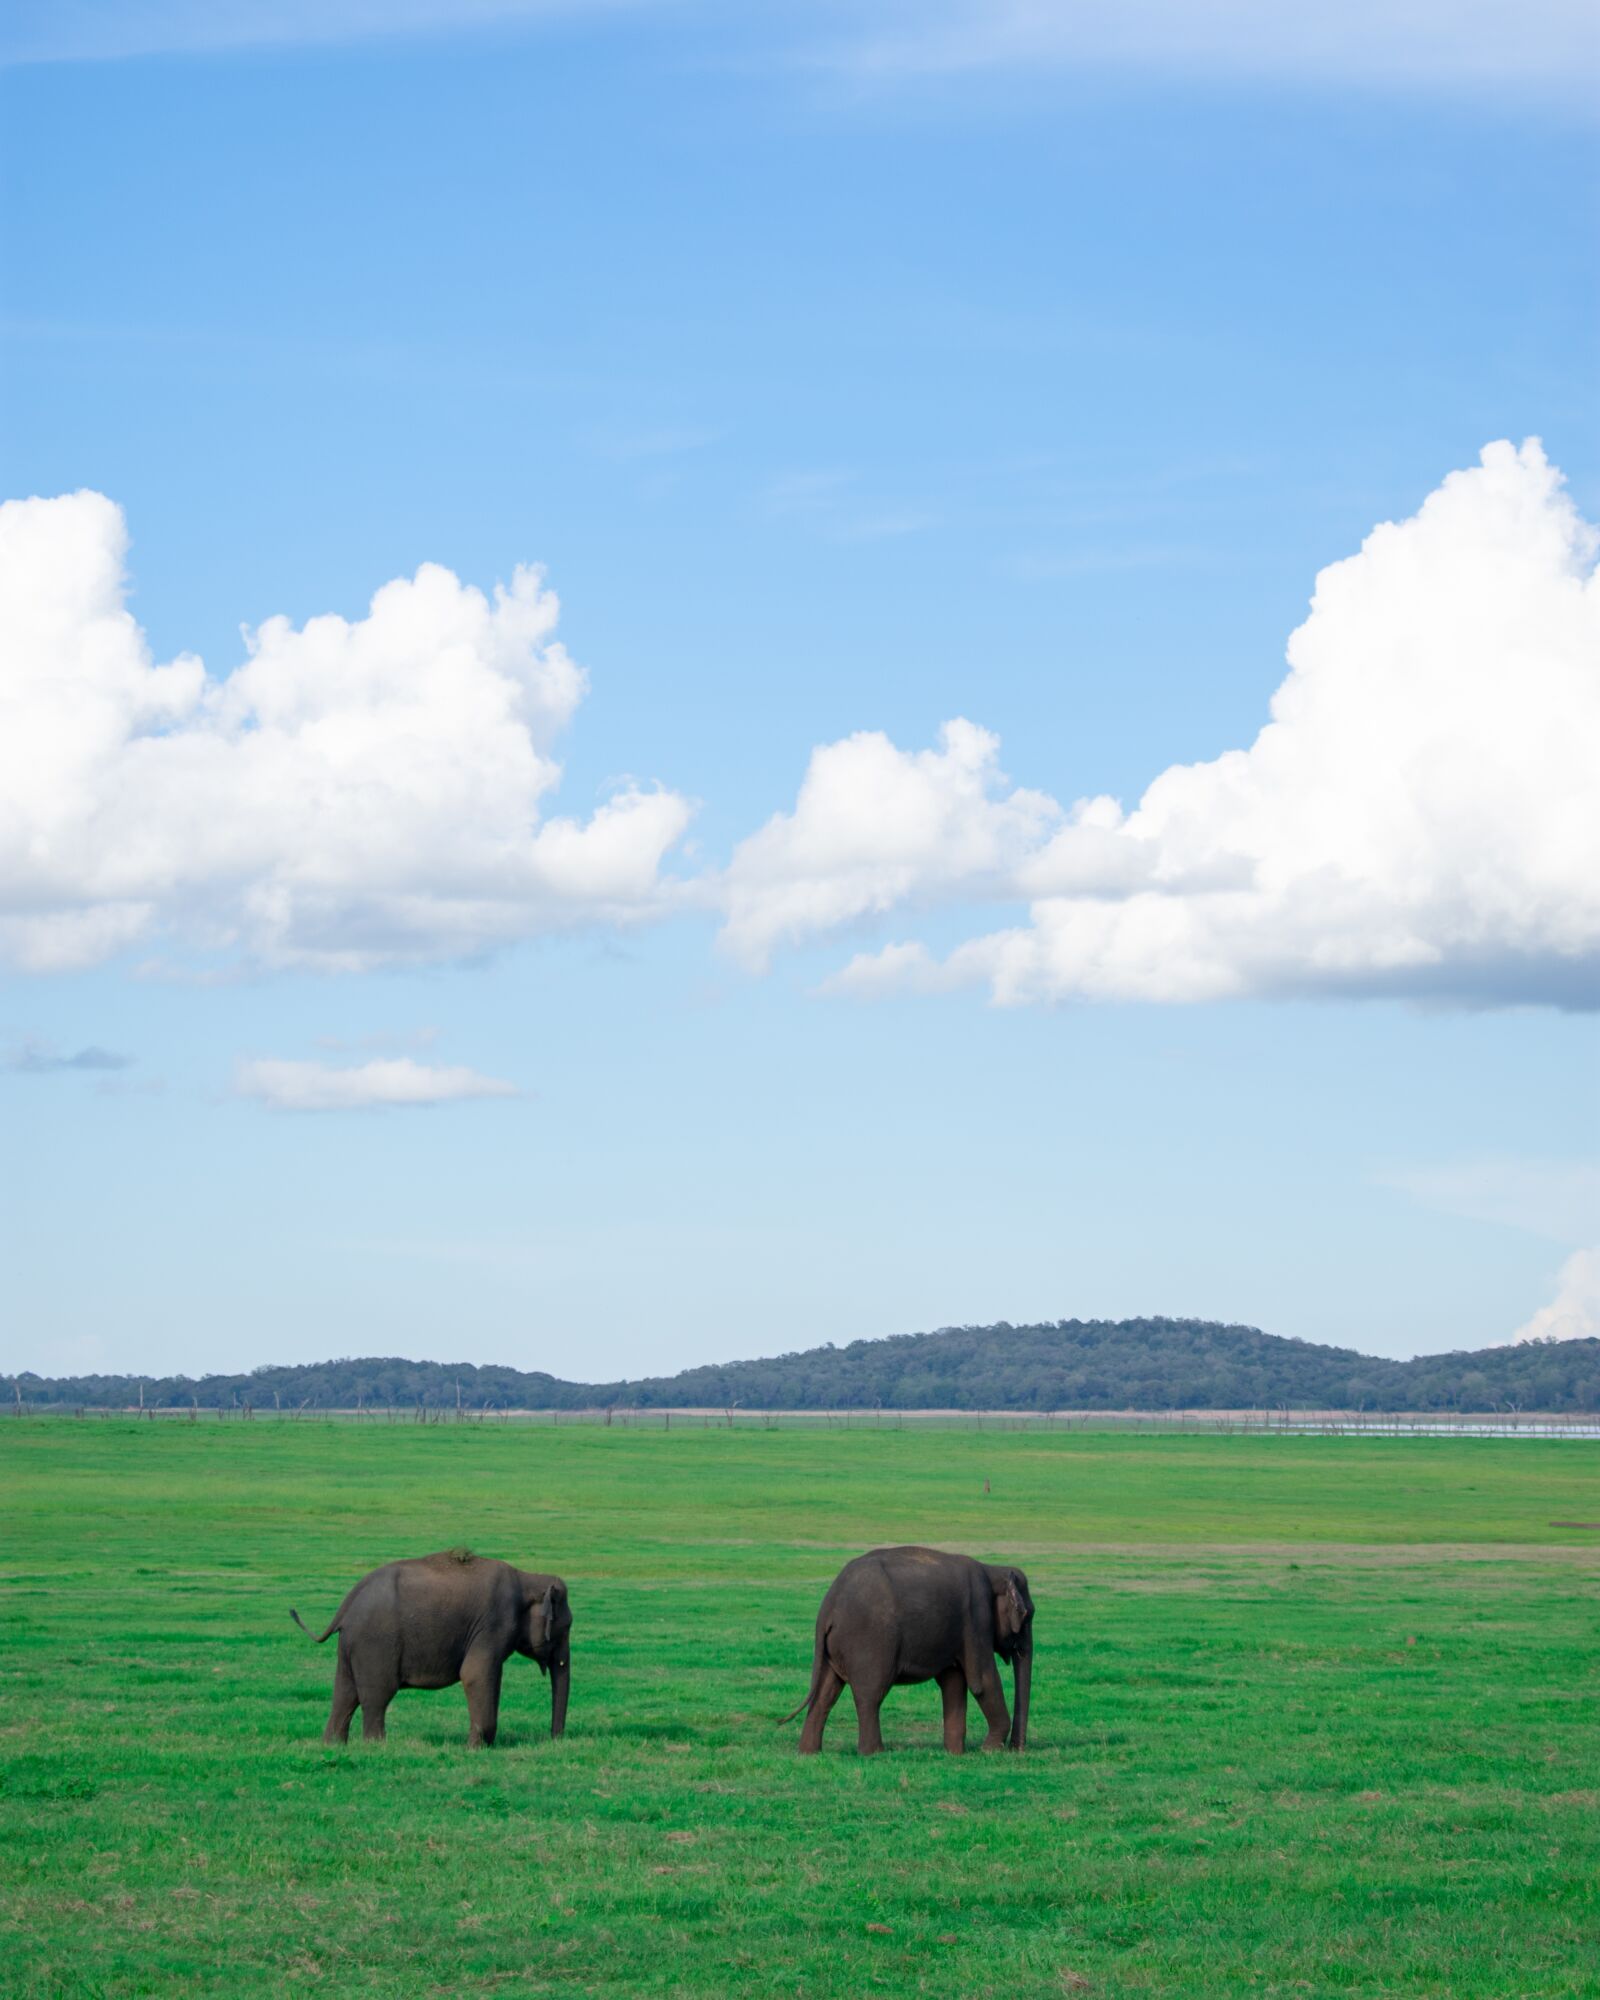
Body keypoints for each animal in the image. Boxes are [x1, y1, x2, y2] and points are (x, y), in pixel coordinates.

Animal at [290, 1549, 571, 1747]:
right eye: (566, 1626)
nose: (553, 1739)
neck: (529, 1578)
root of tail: (346, 1606)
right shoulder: (495, 1623)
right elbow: (475, 1674)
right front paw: (475, 1748)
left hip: (350, 1647)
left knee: (345, 1694)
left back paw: (334, 1746)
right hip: (374, 1645)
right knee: (377, 1696)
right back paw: (376, 1746)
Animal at [784, 1545, 1033, 1755]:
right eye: (1028, 1614)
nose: (1016, 1750)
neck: (993, 1570)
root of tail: (829, 1607)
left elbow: (953, 1682)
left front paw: (954, 1754)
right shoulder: (977, 1618)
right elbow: (981, 1681)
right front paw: (988, 1750)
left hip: (833, 1648)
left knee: (826, 1693)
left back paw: (808, 1752)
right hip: (870, 1641)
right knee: (870, 1695)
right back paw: (874, 1754)